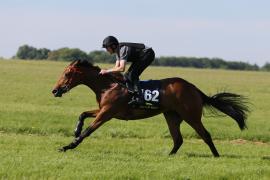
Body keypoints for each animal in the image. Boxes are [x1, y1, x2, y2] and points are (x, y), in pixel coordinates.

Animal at [51, 59, 249, 157]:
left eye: (67, 74)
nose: (55, 90)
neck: (108, 85)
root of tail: (194, 88)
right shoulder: (104, 110)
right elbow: (83, 114)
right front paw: (76, 130)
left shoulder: (107, 113)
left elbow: (88, 131)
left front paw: (68, 146)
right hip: (172, 116)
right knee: (178, 139)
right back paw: (169, 155)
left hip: (191, 115)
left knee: (205, 135)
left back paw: (216, 156)